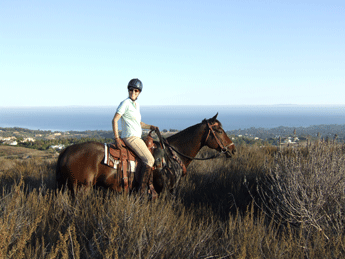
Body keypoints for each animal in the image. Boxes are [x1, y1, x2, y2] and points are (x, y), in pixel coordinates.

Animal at [55, 114, 234, 195]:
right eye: (219, 130)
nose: (232, 149)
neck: (172, 156)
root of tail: (65, 151)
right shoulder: (165, 191)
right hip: (81, 189)